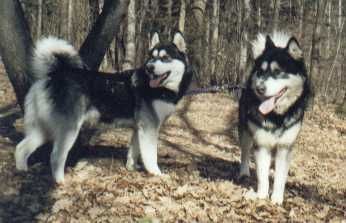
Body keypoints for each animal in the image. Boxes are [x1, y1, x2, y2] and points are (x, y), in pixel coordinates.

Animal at [15, 32, 192, 183]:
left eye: (165, 58)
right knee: (56, 156)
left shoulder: (139, 129)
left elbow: (133, 151)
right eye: (152, 58)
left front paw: (131, 168)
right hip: (68, 129)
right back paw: (60, 182)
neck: (159, 89)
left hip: (43, 129)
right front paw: (156, 173)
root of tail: (54, 74)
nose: (150, 68)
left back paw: (21, 171)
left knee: (21, 148)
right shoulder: (149, 128)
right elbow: (150, 155)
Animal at [239, 30, 310, 204]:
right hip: (246, 131)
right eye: (261, 71)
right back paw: (243, 172)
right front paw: (261, 195)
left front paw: (277, 198)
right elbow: (262, 175)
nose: (259, 88)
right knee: (245, 152)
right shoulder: (261, 143)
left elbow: (280, 176)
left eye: (278, 72)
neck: (277, 116)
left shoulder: (285, 147)